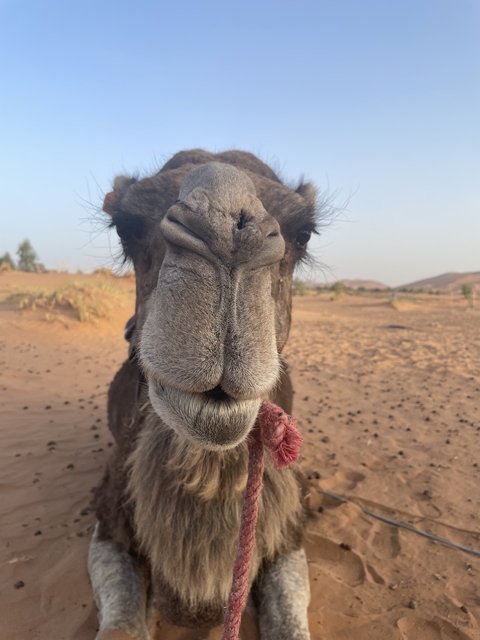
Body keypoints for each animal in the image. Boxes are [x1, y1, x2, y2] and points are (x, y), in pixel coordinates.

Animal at [89, 149, 319, 640]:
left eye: (304, 232)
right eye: (124, 226)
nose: (229, 231)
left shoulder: (290, 532)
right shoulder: (109, 516)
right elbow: (122, 626)